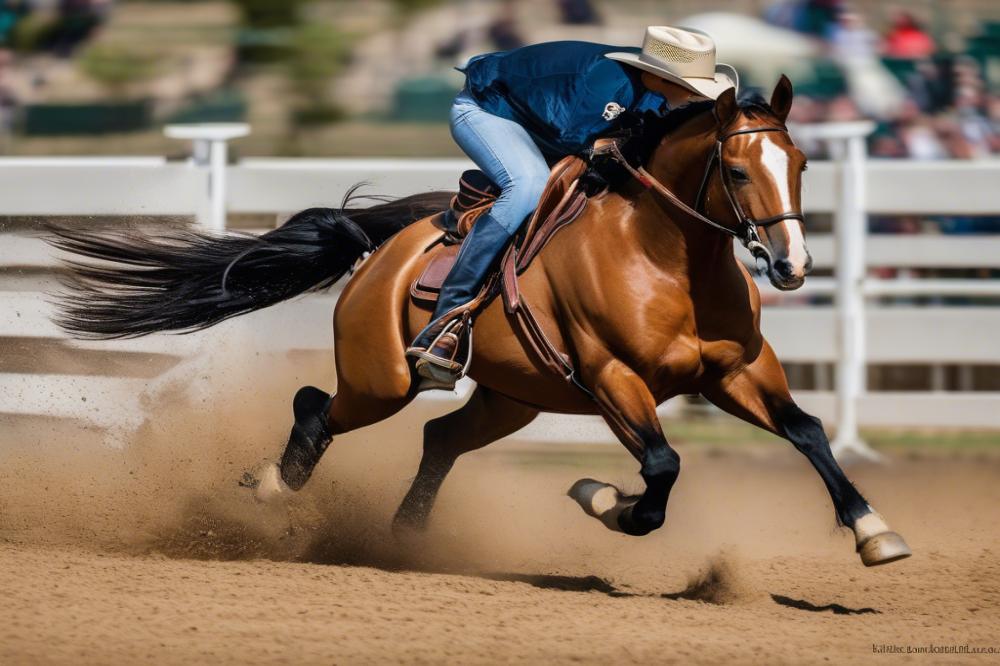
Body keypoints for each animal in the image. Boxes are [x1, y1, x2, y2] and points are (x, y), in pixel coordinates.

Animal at [49, 77, 910, 567]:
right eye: (735, 169)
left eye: (801, 163)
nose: (793, 264)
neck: (668, 257)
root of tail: (384, 247)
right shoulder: (613, 380)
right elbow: (662, 470)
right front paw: (603, 498)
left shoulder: (735, 371)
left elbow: (807, 432)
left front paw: (874, 532)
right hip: (382, 379)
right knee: (316, 408)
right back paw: (269, 486)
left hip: (513, 398)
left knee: (438, 438)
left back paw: (406, 532)